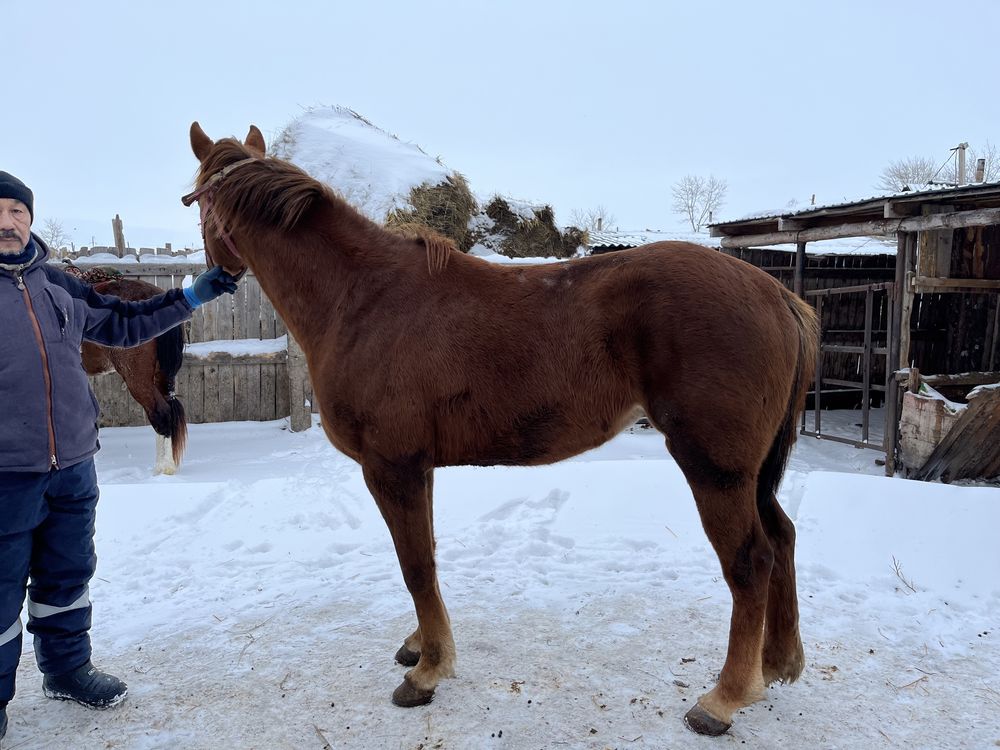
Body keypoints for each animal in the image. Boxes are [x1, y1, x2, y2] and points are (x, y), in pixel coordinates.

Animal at [188, 120, 820, 736]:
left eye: (193, 201)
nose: (214, 275)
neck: (362, 298)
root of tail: (776, 294)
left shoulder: (390, 467)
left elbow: (415, 566)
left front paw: (427, 672)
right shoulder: (418, 469)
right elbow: (426, 555)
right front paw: (420, 645)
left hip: (714, 467)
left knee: (750, 562)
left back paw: (723, 700)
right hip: (749, 473)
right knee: (783, 538)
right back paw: (776, 664)